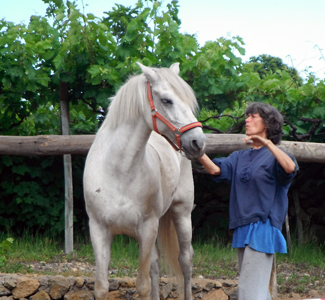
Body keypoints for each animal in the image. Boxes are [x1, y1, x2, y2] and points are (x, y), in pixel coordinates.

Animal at [83, 63, 205, 300]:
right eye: (166, 100)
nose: (198, 142)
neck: (119, 172)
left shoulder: (148, 229)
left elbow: (142, 285)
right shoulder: (99, 230)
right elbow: (102, 286)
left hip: (182, 214)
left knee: (185, 260)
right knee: (156, 265)